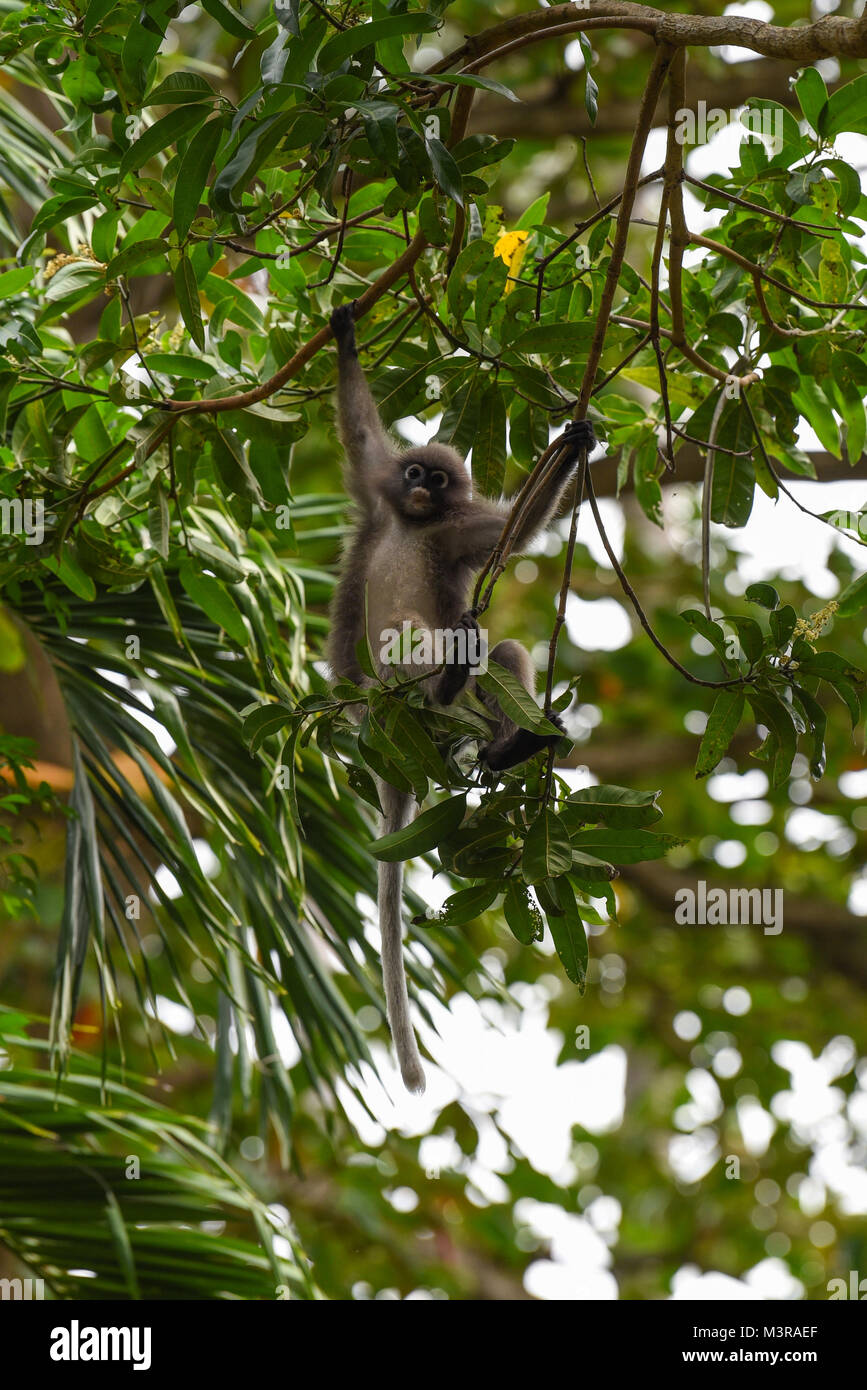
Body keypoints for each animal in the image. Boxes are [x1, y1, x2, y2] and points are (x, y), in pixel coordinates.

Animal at [326, 298, 594, 1089]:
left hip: (440, 713)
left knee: (494, 652)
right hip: (388, 697)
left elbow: (515, 530)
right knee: (419, 640)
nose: (420, 484)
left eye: (439, 482)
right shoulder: (376, 494)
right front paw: (345, 335)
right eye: (414, 470)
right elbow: (360, 433)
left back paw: (511, 745)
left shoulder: (456, 532)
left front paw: (575, 447)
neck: (413, 524)